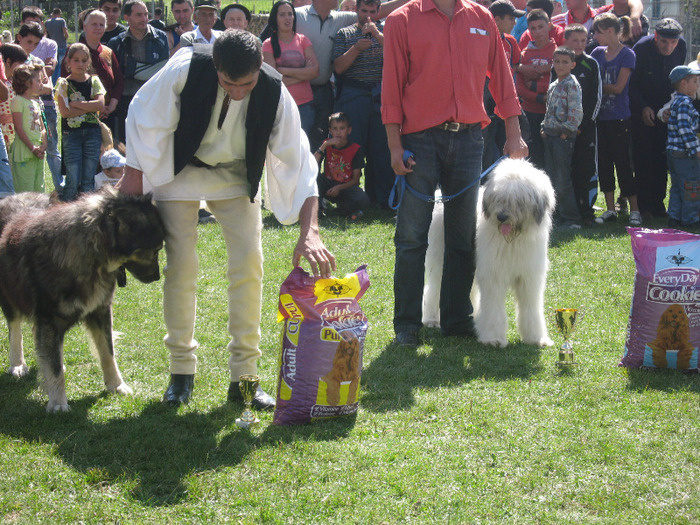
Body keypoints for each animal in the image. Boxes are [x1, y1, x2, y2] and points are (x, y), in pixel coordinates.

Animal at [0, 188, 165, 414]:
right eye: (154, 250)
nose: (157, 276)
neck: (92, 253)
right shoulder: (50, 319)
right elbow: (54, 366)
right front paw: (58, 402)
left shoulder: (100, 311)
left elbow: (108, 352)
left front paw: (117, 385)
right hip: (10, 293)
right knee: (15, 328)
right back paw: (17, 364)